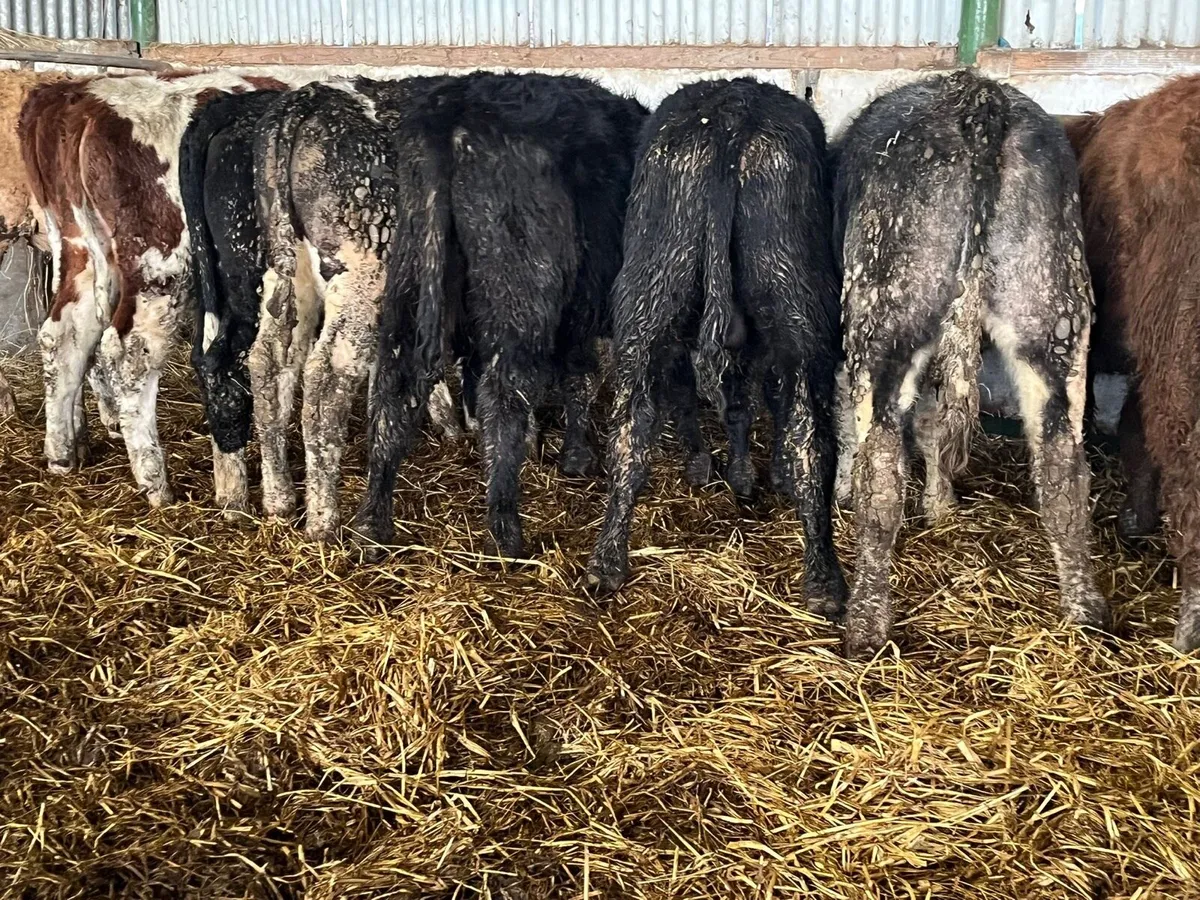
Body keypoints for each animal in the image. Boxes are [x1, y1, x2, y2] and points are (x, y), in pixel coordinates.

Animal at [18, 71, 290, 506]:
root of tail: (79, 102)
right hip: (161, 268)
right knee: (131, 352)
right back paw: (156, 483)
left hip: (80, 253)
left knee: (64, 337)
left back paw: (63, 454)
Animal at [352, 72, 648, 558]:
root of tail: (453, 107)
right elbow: (582, 377)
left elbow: (579, 376)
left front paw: (575, 456)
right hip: (522, 294)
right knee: (505, 392)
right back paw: (506, 530)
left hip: (411, 273)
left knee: (394, 387)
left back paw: (373, 522)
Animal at [583, 78, 846, 609]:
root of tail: (730, 117)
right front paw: (742, 473)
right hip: (799, 301)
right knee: (807, 433)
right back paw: (823, 579)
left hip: (650, 290)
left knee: (630, 429)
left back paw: (606, 563)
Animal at [833, 71, 1107, 659]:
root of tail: (979, 97)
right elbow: (935, 424)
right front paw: (942, 507)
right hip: (1052, 304)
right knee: (1063, 468)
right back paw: (1087, 614)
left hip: (883, 305)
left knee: (881, 471)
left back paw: (865, 624)